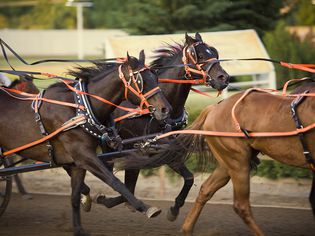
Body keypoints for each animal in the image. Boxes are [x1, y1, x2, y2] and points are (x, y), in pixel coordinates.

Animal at [0, 52, 172, 236]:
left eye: (155, 76)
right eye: (141, 81)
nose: (165, 109)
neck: (79, 108)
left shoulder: (77, 163)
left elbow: (75, 196)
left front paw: (79, 226)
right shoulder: (84, 156)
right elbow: (114, 181)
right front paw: (145, 207)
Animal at [80, 32, 231, 220]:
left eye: (215, 53)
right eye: (201, 55)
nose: (224, 78)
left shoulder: (167, 150)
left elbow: (189, 178)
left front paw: (174, 208)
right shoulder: (137, 150)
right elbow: (127, 187)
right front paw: (104, 199)